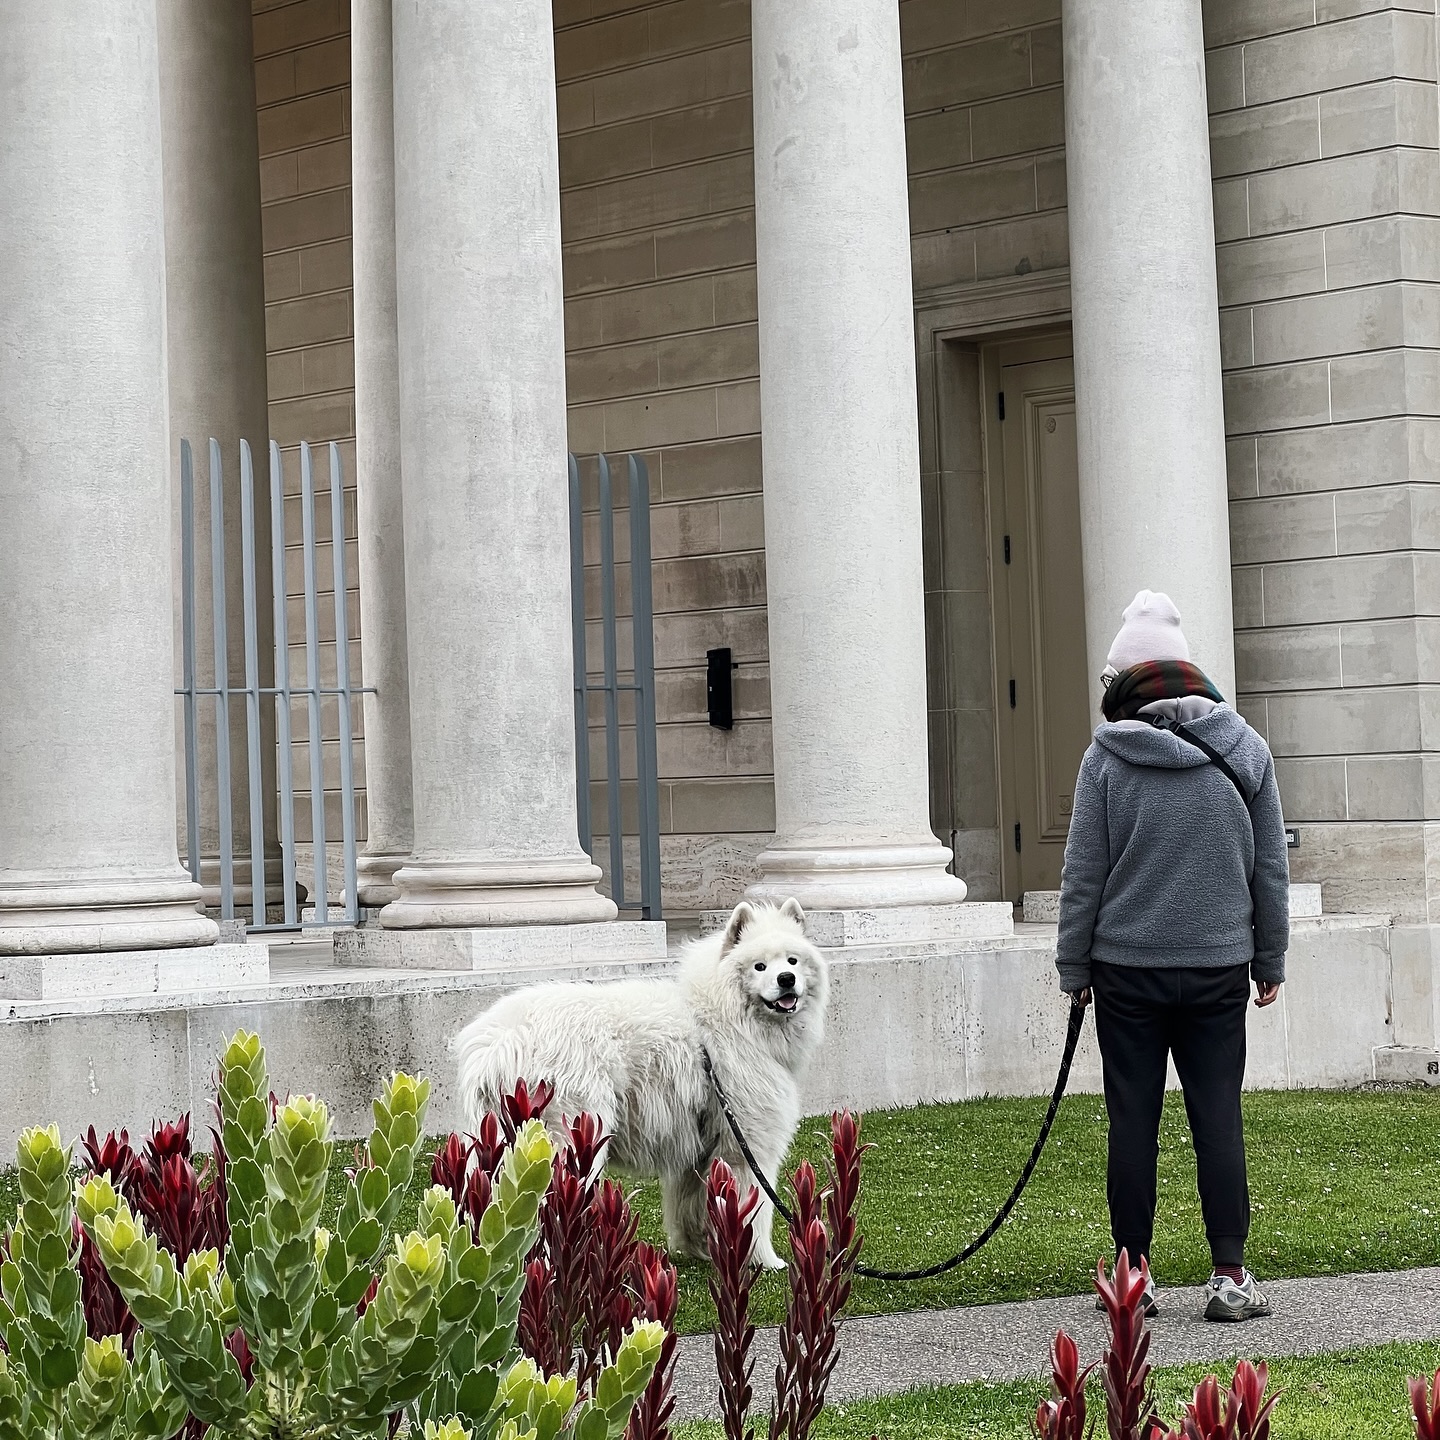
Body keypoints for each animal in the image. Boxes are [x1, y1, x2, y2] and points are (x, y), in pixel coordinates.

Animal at [455, 898, 829, 1272]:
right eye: (759, 966)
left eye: (792, 961)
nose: (786, 979)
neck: (724, 1017)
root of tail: (502, 1043)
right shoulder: (747, 1146)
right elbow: (755, 1210)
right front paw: (763, 1260)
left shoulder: (700, 1146)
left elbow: (691, 1205)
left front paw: (700, 1249)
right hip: (572, 1142)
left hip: (497, 1146)